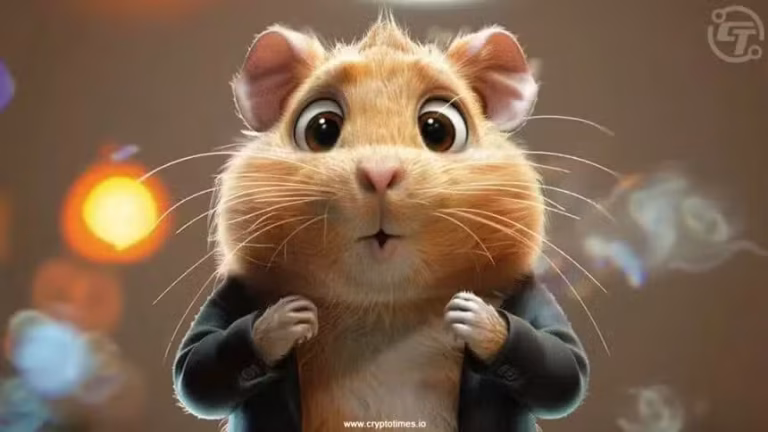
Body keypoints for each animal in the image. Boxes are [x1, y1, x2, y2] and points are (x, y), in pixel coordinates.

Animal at [174, 14, 589, 432]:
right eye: (320, 129)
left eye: (439, 129)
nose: (379, 173)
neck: (383, 303)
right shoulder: (232, 297)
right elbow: (195, 366)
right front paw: (289, 316)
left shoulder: (532, 297)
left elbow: (565, 366)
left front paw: (472, 314)